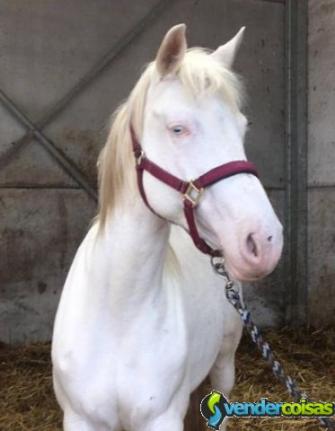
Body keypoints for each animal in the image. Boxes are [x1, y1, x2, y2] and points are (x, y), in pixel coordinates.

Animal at [51, 24, 284, 431]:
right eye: (178, 128)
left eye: (242, 127)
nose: (264, 241)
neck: (119, 314)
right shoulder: (80, 418)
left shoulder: (161, 417)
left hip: (225, 359)